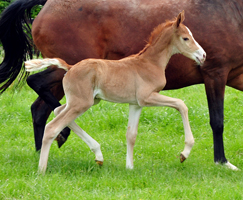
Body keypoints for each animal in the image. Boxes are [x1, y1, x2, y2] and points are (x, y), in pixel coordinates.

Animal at [25, 11, 206, 173]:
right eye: (185, 38)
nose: (203, 55)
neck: (149, 63)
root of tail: (70, 67)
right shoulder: (147, 97)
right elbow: (181, 104)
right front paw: (184, 153)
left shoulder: (136, 104)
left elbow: (131, 134)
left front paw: (129, 167)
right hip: (81, 103)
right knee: (52, 127)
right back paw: (42, 170)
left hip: (84, 101)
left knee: (57, 110)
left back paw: (98, 155)